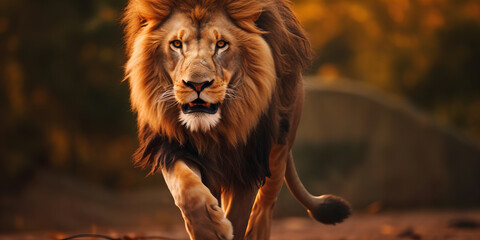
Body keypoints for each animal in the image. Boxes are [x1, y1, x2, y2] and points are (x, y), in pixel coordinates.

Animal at [122, 0, 350, 240]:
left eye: (221, 44)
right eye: (176, 44)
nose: (197, 84)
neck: (214, 130)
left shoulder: (248, 163)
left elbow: (239, 219)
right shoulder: (172, 146)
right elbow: (186, 189)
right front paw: (209, 229)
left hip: (279, 148)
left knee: (265, 205)